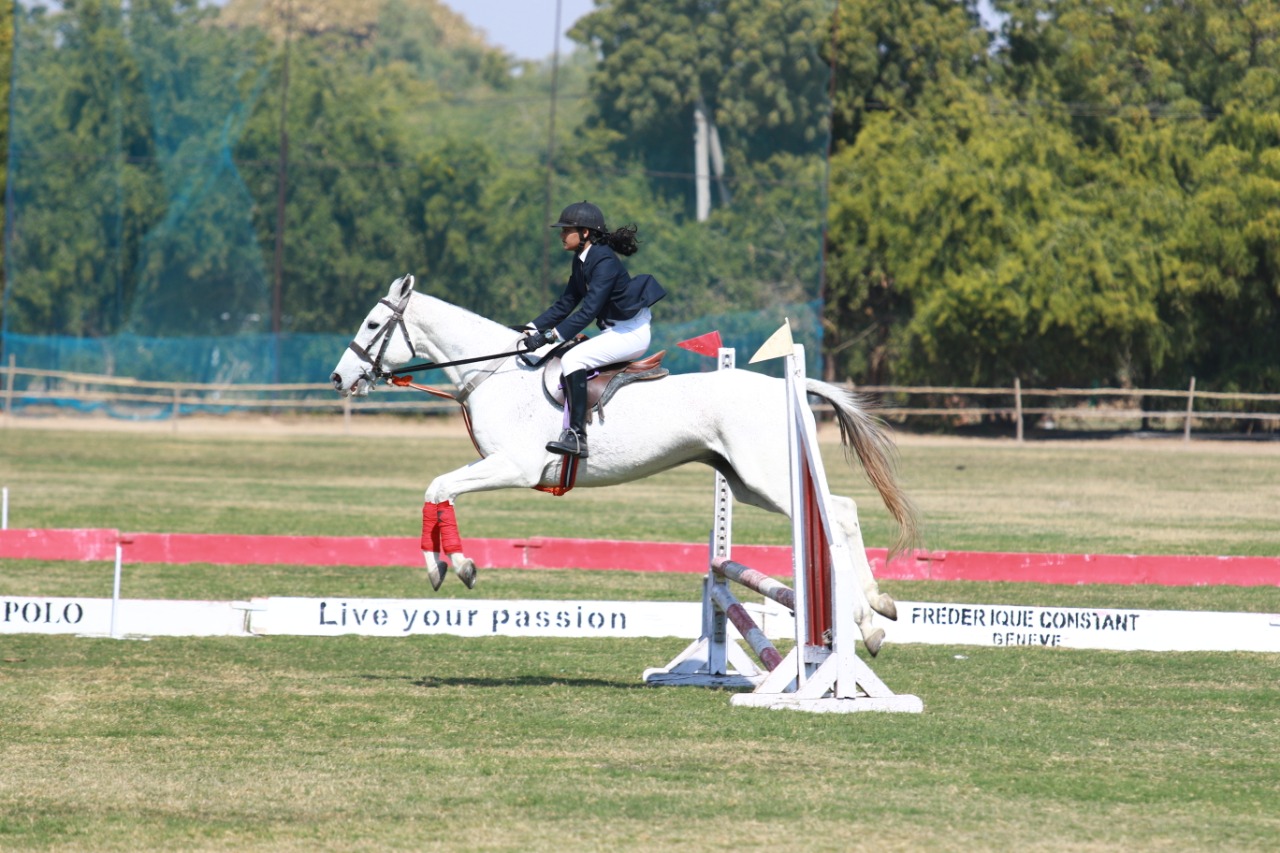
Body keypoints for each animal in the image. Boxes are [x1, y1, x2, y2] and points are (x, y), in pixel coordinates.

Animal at [332, 272, 921, 650]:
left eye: (371, 325)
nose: (341, 378)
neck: (493, 374)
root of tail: (781, 385)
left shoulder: (513, 467)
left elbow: (439, 486)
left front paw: (454, 565)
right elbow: (436, 489)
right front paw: (442, 567)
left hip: (769, 476)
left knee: (837, 512)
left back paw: (865, 617)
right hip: (748, 483)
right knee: (841, 511)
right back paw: (878, 613)